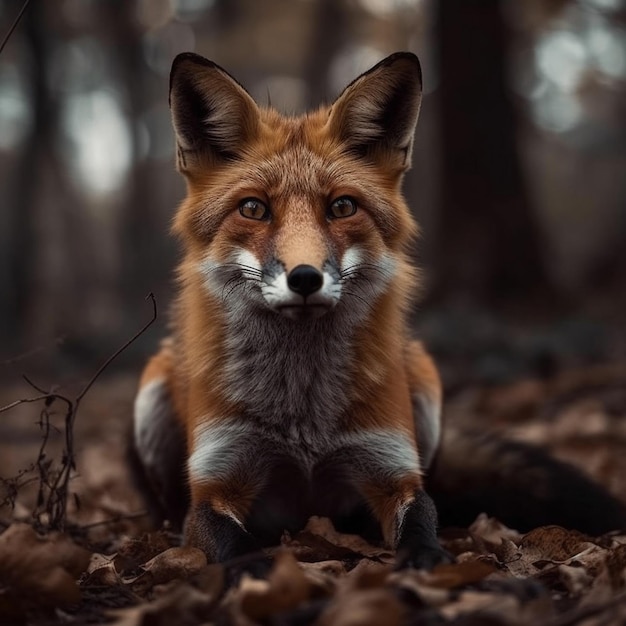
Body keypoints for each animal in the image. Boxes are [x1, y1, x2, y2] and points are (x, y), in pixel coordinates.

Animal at [129, 52, 620, 572]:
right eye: (254, 209)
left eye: (343, 206)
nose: (305, 278)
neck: (304, 420)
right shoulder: (215, 483)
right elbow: (227, 541)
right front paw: (253, 570)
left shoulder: (392, 470)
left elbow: (422, 517)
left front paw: (425, 561)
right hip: (150, 395)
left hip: (424, 384)